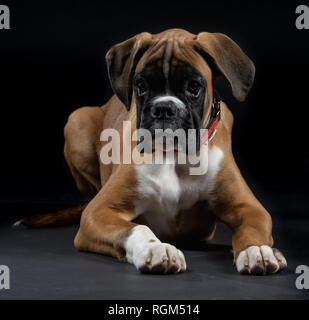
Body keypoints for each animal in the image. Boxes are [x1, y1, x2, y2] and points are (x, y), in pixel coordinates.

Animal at [18, 28, 286, 276]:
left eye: (194, 86)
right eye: (141, 85)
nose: (164, 108)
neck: (174, 156)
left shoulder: (249, 208)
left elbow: (251, 228)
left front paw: (256, 249)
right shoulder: (98, 212)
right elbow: (136, 228)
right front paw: (155, 248)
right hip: (77, 119)